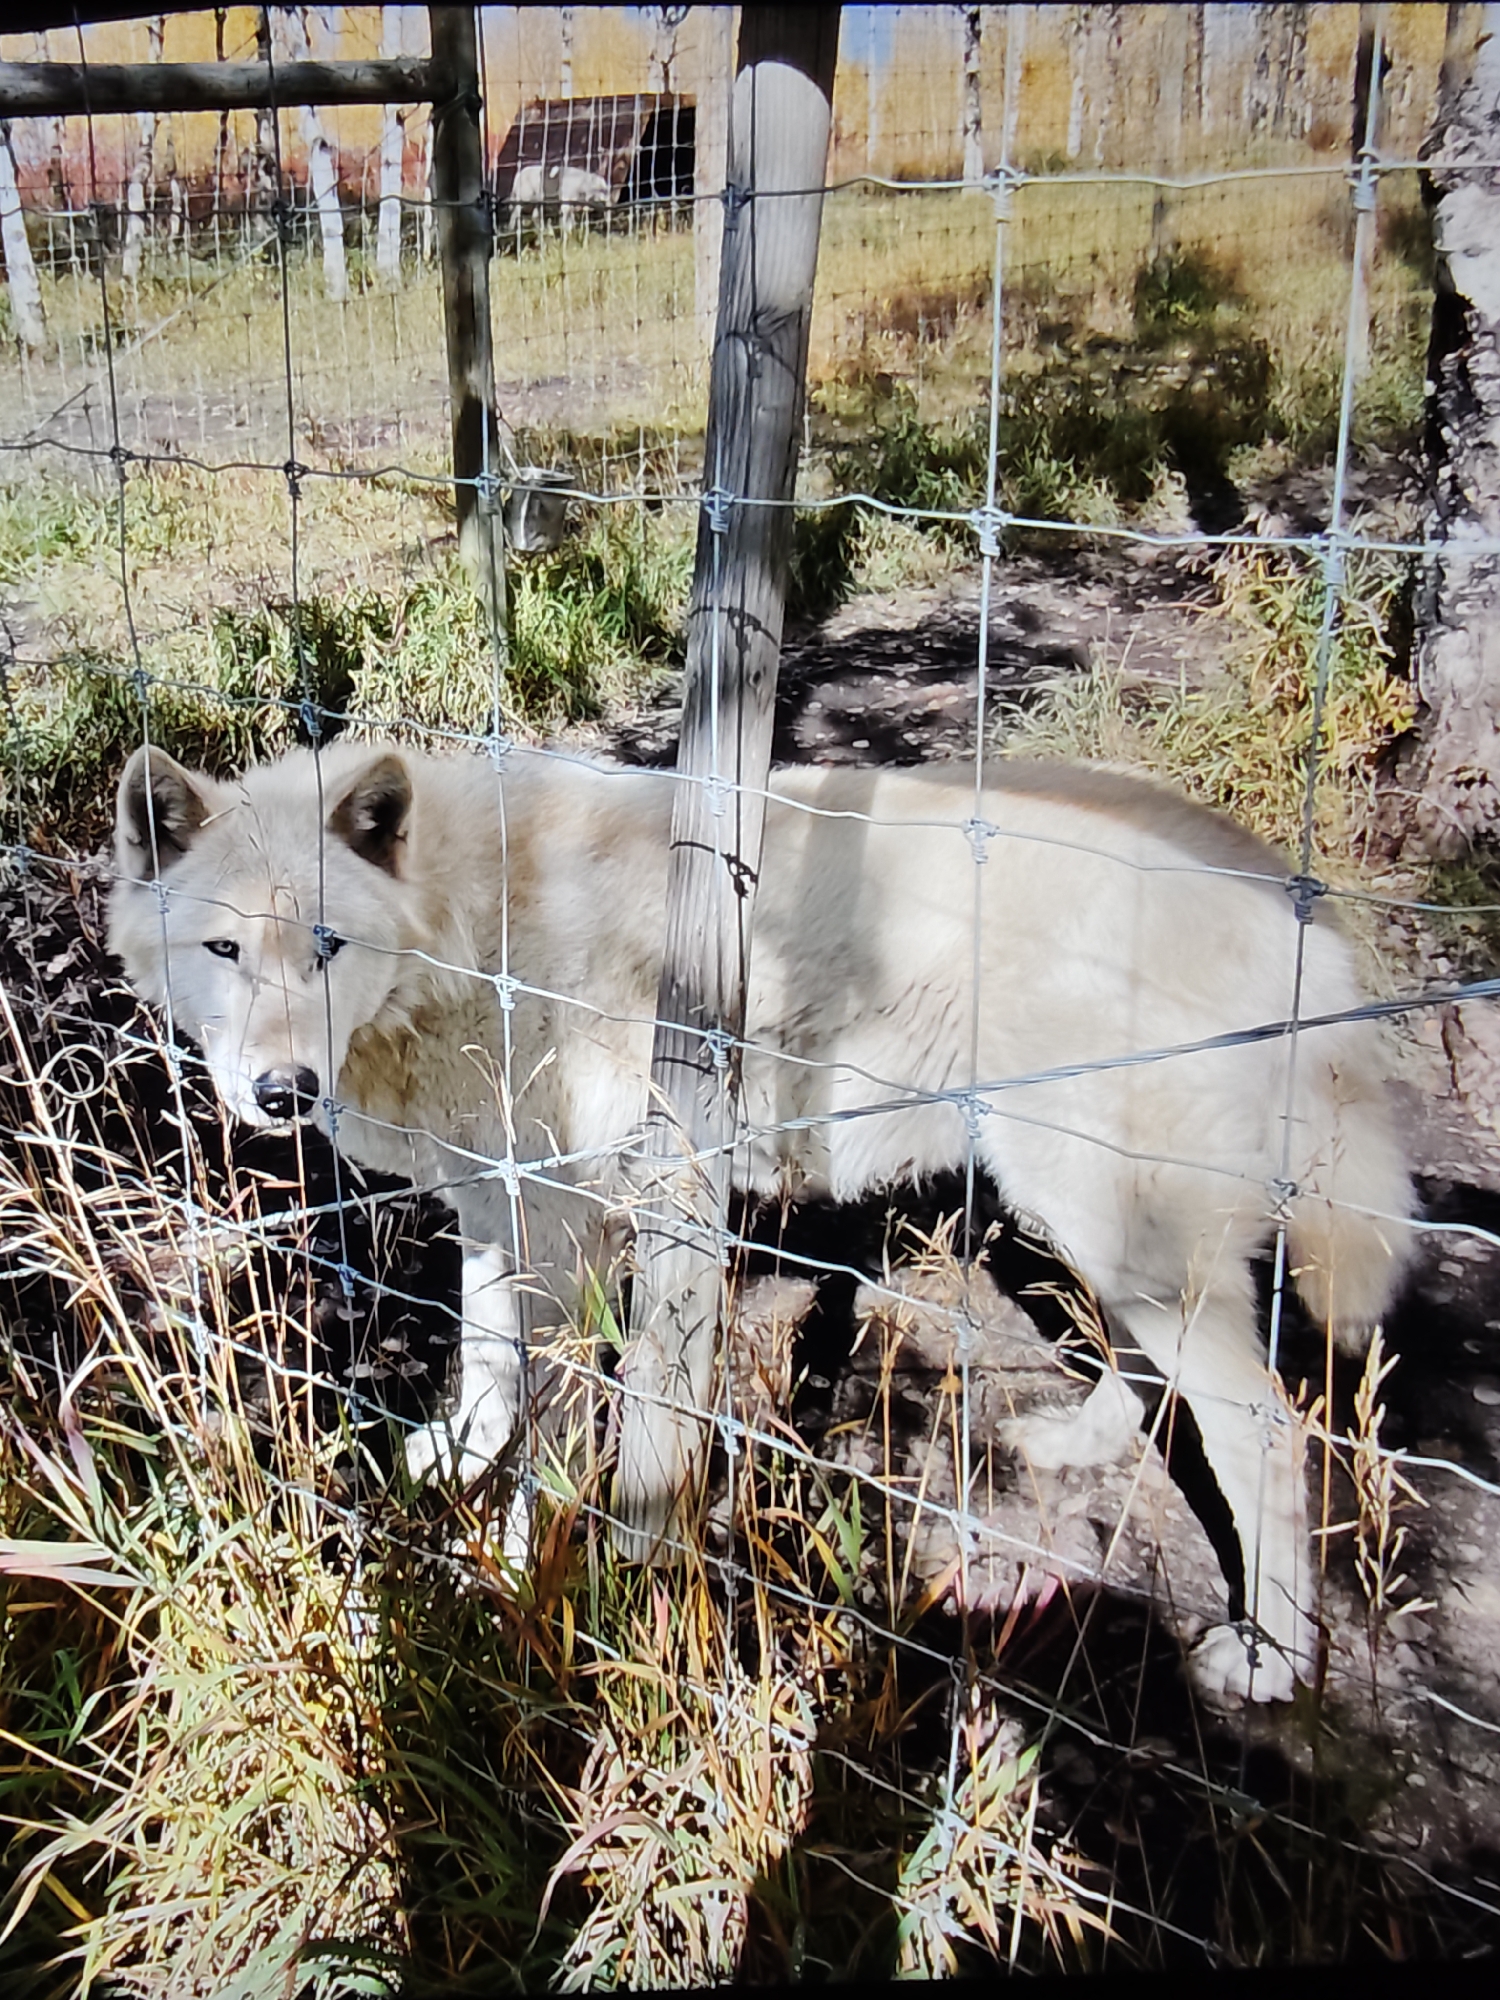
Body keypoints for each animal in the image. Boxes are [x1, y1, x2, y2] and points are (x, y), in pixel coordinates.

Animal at [111, 739, 1412, 1704]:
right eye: (224, 947)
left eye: (327, 947)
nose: (282, 1092)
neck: (465, 928)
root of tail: (1304, 912)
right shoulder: (498, 1202)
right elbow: (485, 1355)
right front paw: (456, 1455)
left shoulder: (570, 1223)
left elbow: (554, 1430)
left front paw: (523, 1572)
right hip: (1095, 1222)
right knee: (1150, 1372)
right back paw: (1073, 1444)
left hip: (1112, 1221)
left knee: (1272, 1433)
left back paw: (1269, 1659)